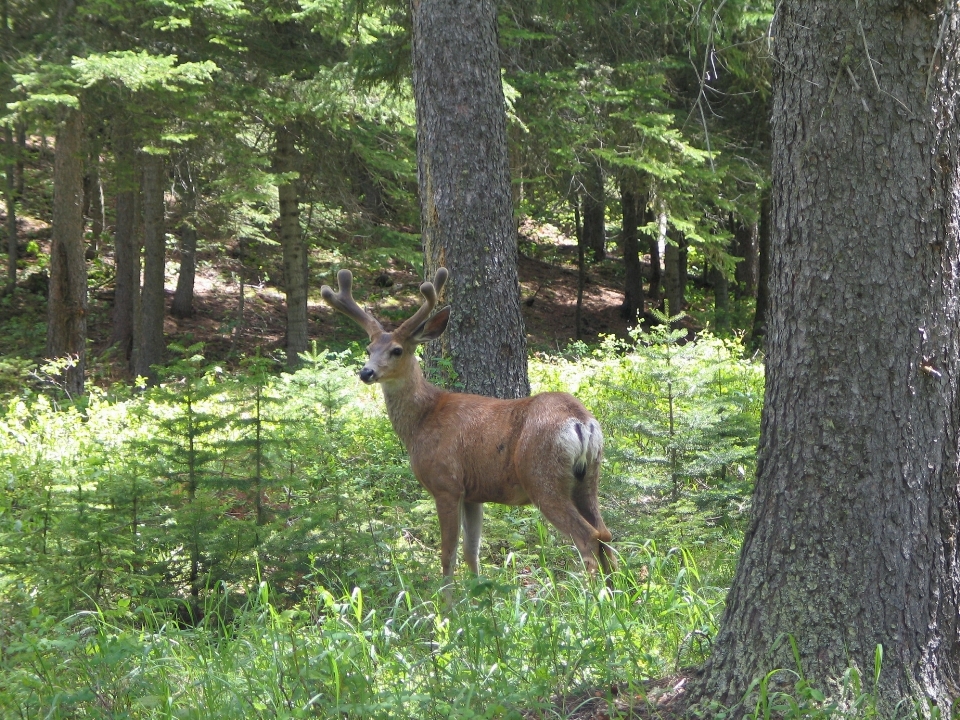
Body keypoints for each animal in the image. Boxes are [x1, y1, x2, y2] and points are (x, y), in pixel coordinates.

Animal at [318, 268, 620, 588]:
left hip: (542, 477)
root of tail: (581, 421)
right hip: (588, 478)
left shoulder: (446, 483)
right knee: (605, 534)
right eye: (369, 347)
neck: (421, 421)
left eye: (396, 350)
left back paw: (592, 597)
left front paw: (448, 600)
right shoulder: (474, 493)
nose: (366, 372)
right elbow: (471, 551)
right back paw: (619, 592)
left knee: (587, 536)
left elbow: (447, 553)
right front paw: (478, 594)